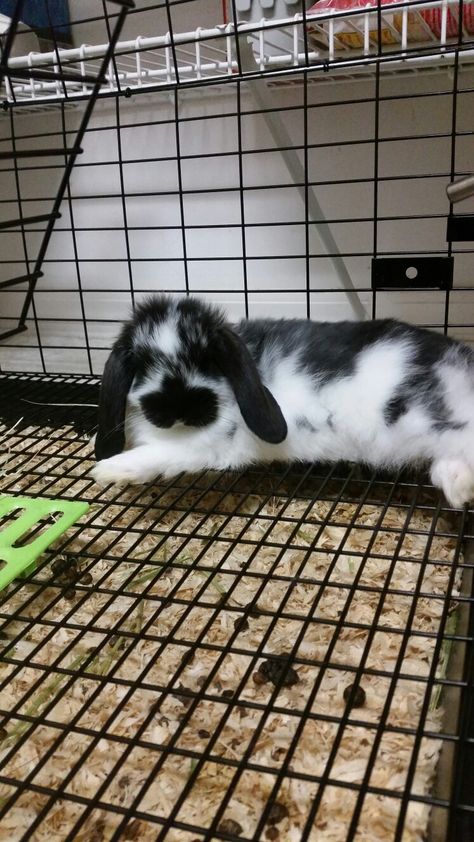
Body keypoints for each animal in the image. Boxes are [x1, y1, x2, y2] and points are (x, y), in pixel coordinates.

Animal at [91, 296, 474, 506]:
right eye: (141, 363)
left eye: (208, 359)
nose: (178, 409)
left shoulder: (205, 447)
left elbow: (157, 455)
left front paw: (108, 470)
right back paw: (459, 490)